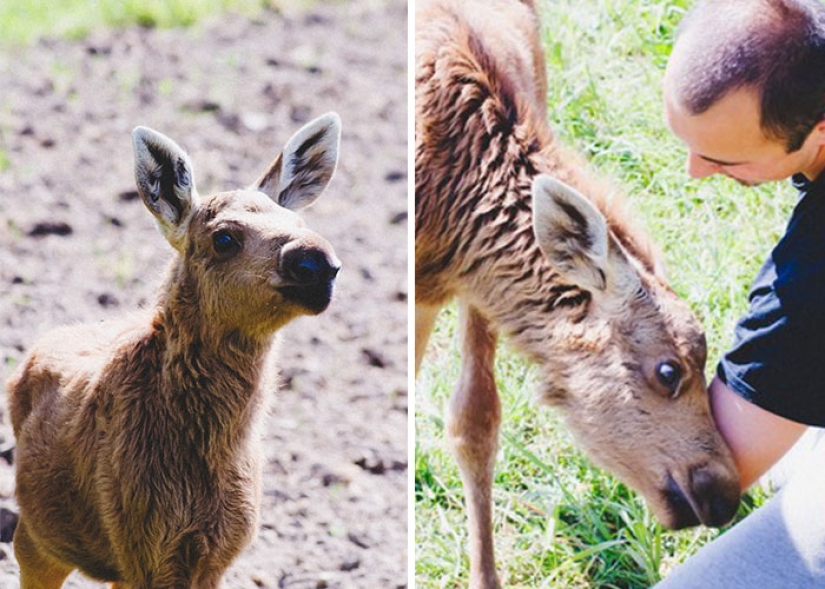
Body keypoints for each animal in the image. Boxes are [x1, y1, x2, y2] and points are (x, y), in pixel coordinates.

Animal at [5, 113, 342, 588]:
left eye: (297, 221)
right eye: (224, 238)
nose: (317, 262)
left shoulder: (213, 555)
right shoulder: (148, 549)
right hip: (37, 539)